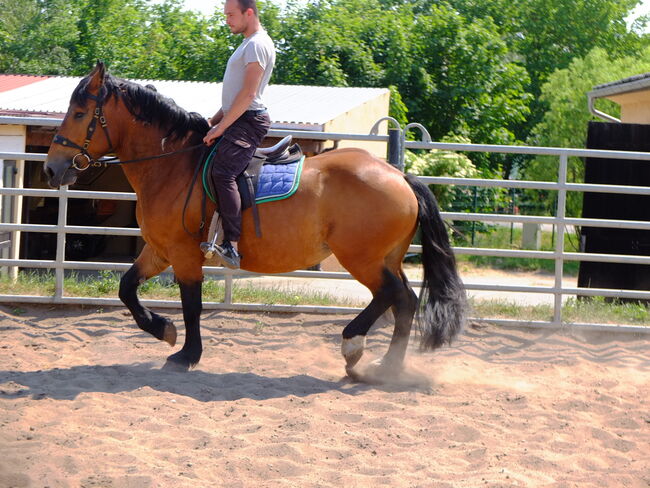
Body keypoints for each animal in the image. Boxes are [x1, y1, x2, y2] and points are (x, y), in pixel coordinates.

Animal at [43, 63, 464, 378]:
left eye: (79, 114)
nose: (51, 169)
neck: (173, 166)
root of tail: (399, 176)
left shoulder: (184, 254)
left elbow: (191, 305)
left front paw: (186, 354)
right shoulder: (159, 250)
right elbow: (127, 288)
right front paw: (164, 330)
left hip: (361, 258)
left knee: (392, 296)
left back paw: (354, 345)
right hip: (385, 258)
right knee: (405, 302)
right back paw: (385, 366)